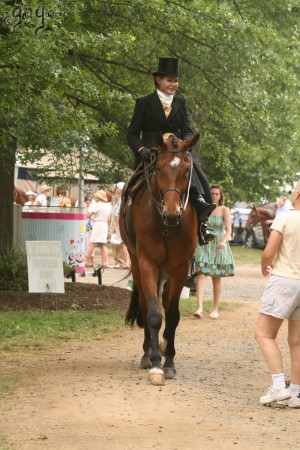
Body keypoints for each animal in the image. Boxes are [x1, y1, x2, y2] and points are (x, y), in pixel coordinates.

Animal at [119, 132, 199, 384]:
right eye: (160, 168)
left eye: (187, 170)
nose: (172, 213)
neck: (166, 227)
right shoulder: (148, 263)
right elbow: (154, 314)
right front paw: (156, 364)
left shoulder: (179, 267)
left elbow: (172, 315)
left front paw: (169, 362)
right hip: (137, 264)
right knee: (146, 306)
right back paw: (148, 353)